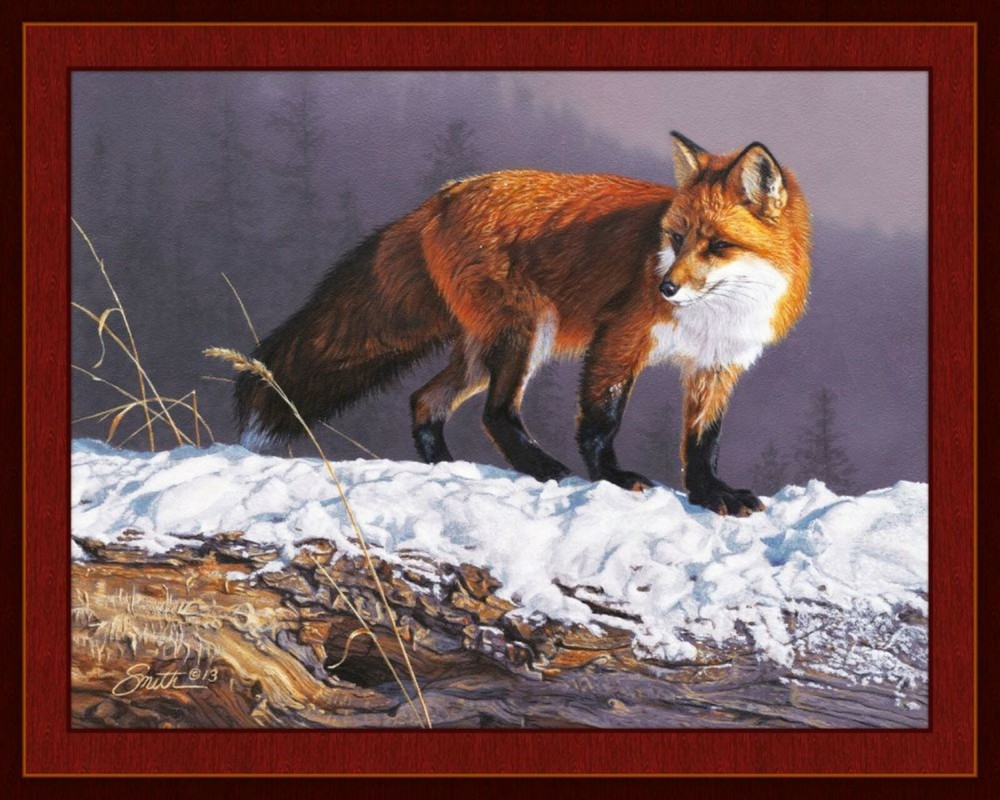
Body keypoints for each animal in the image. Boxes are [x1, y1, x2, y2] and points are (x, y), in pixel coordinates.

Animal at [235, 132, 811, 516]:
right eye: (675, 237)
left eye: (717, 245)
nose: (666, 288)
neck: (718, 312)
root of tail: (442, 196)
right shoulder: (620, 337)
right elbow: (601, 421)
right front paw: (612, 478)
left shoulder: (717, 365)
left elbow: (702, 443)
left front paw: (711, 494)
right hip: (526, 335)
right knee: (495, 413)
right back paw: (543, 469)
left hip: (485, 350)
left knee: (425, 399)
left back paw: (446, 466)